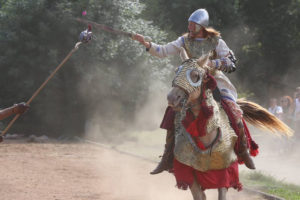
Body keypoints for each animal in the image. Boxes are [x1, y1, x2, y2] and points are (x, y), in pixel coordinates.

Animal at [166, 48, 292, 200]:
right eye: (176, 71)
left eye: (195, 75)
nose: (172, 98)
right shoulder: (189, 172)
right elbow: (199, 194)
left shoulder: (225, 173)